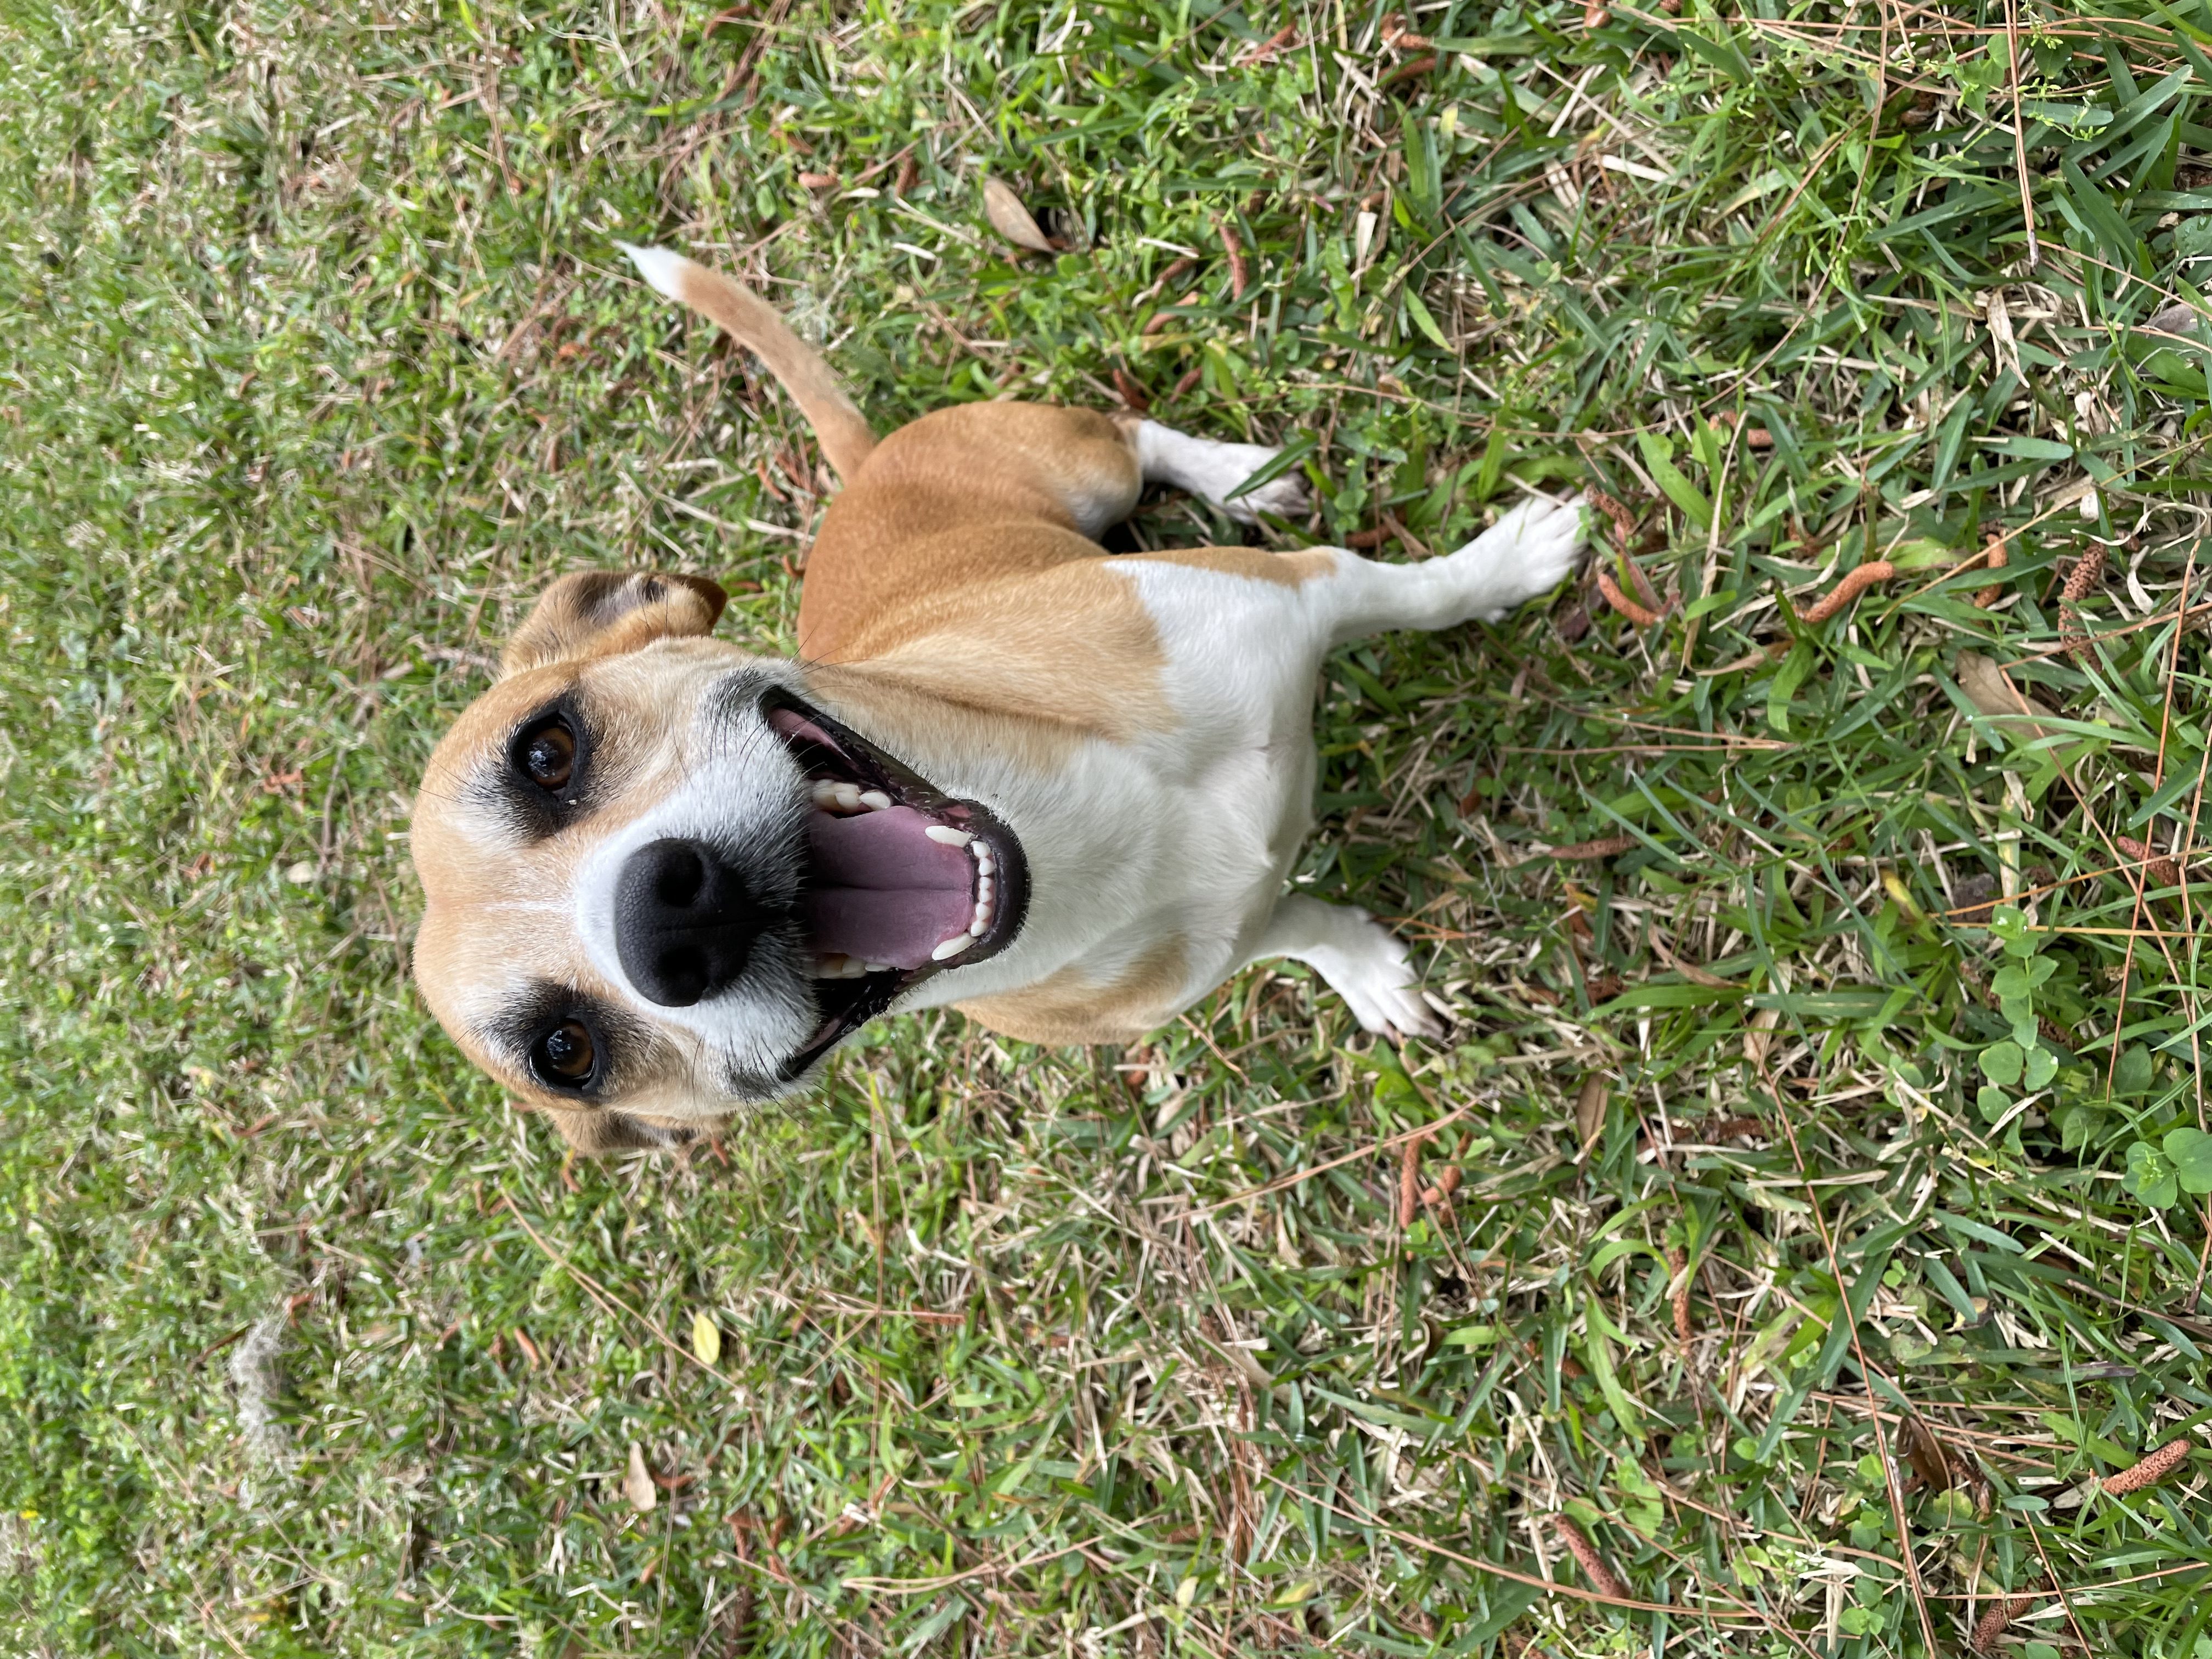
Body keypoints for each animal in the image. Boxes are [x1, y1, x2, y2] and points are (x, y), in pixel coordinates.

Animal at [411, 250, 1593, 1159]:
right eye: (568, 1053)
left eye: (548, 751)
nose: (668, 920)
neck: (1091, 835)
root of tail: (861, 469)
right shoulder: (1217, 947)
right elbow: (1298, 924)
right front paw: (1365, 970)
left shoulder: (1303, 592)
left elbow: (1423, 589)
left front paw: (1509, 564)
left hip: (1081, 471)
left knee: (1133, 429)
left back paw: (1239, 471)